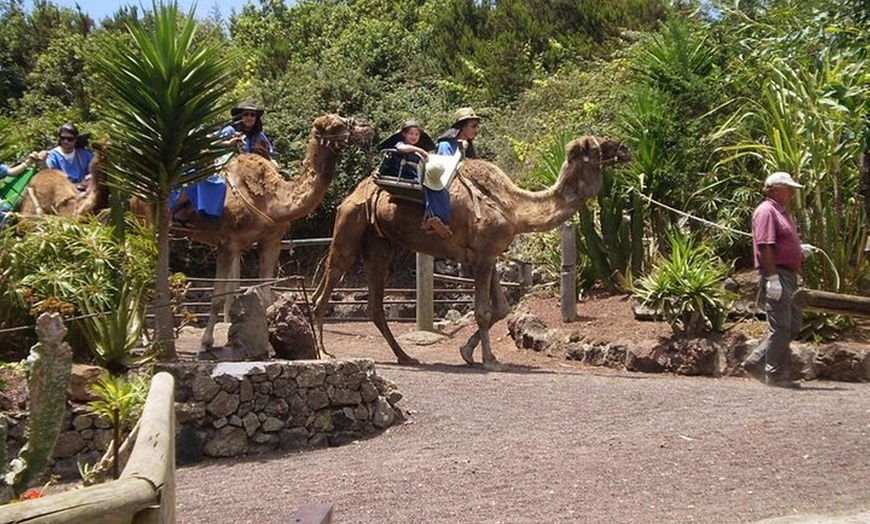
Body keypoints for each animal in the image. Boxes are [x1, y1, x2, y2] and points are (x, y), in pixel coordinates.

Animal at [162, 112, 372, 354]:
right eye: (336, 125)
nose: (366, 126)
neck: (271, 200)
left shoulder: (271, 242)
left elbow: (266, 295)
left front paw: (272, 344)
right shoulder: (228, 243)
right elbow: (217, 297)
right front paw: (206, 344)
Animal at [314, 133, 632, 366]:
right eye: (601, 143)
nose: (626, 148)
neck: (514, 208)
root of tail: (354, 192)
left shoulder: (486, 255)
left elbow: (501, 308)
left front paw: (469, 352)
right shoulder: (483, 257)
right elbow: (482, 311)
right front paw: (487, 360)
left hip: (378, 244)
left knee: (375, 305)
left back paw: (405, 357)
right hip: (350, 225)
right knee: (328, 284)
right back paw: (323, 353)